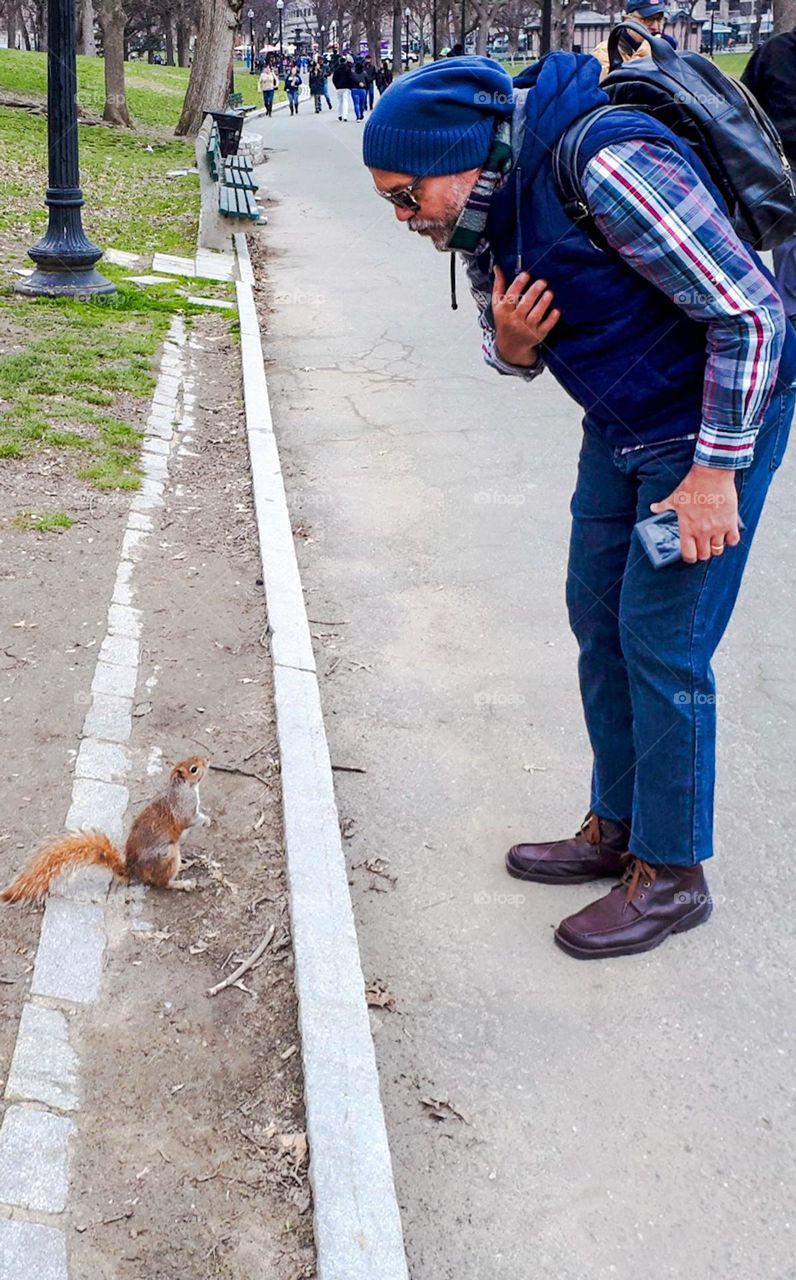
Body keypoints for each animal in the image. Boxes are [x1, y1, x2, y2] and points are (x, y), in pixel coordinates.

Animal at [0, 752, 212, 906]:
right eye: (194, 769)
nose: (207, 760)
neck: (183, 787)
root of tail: (132, 871)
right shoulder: (184, 808)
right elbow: (191, 819)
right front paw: (207, 821)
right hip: (167, 854)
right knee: (162, 882)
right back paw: (182, 883)